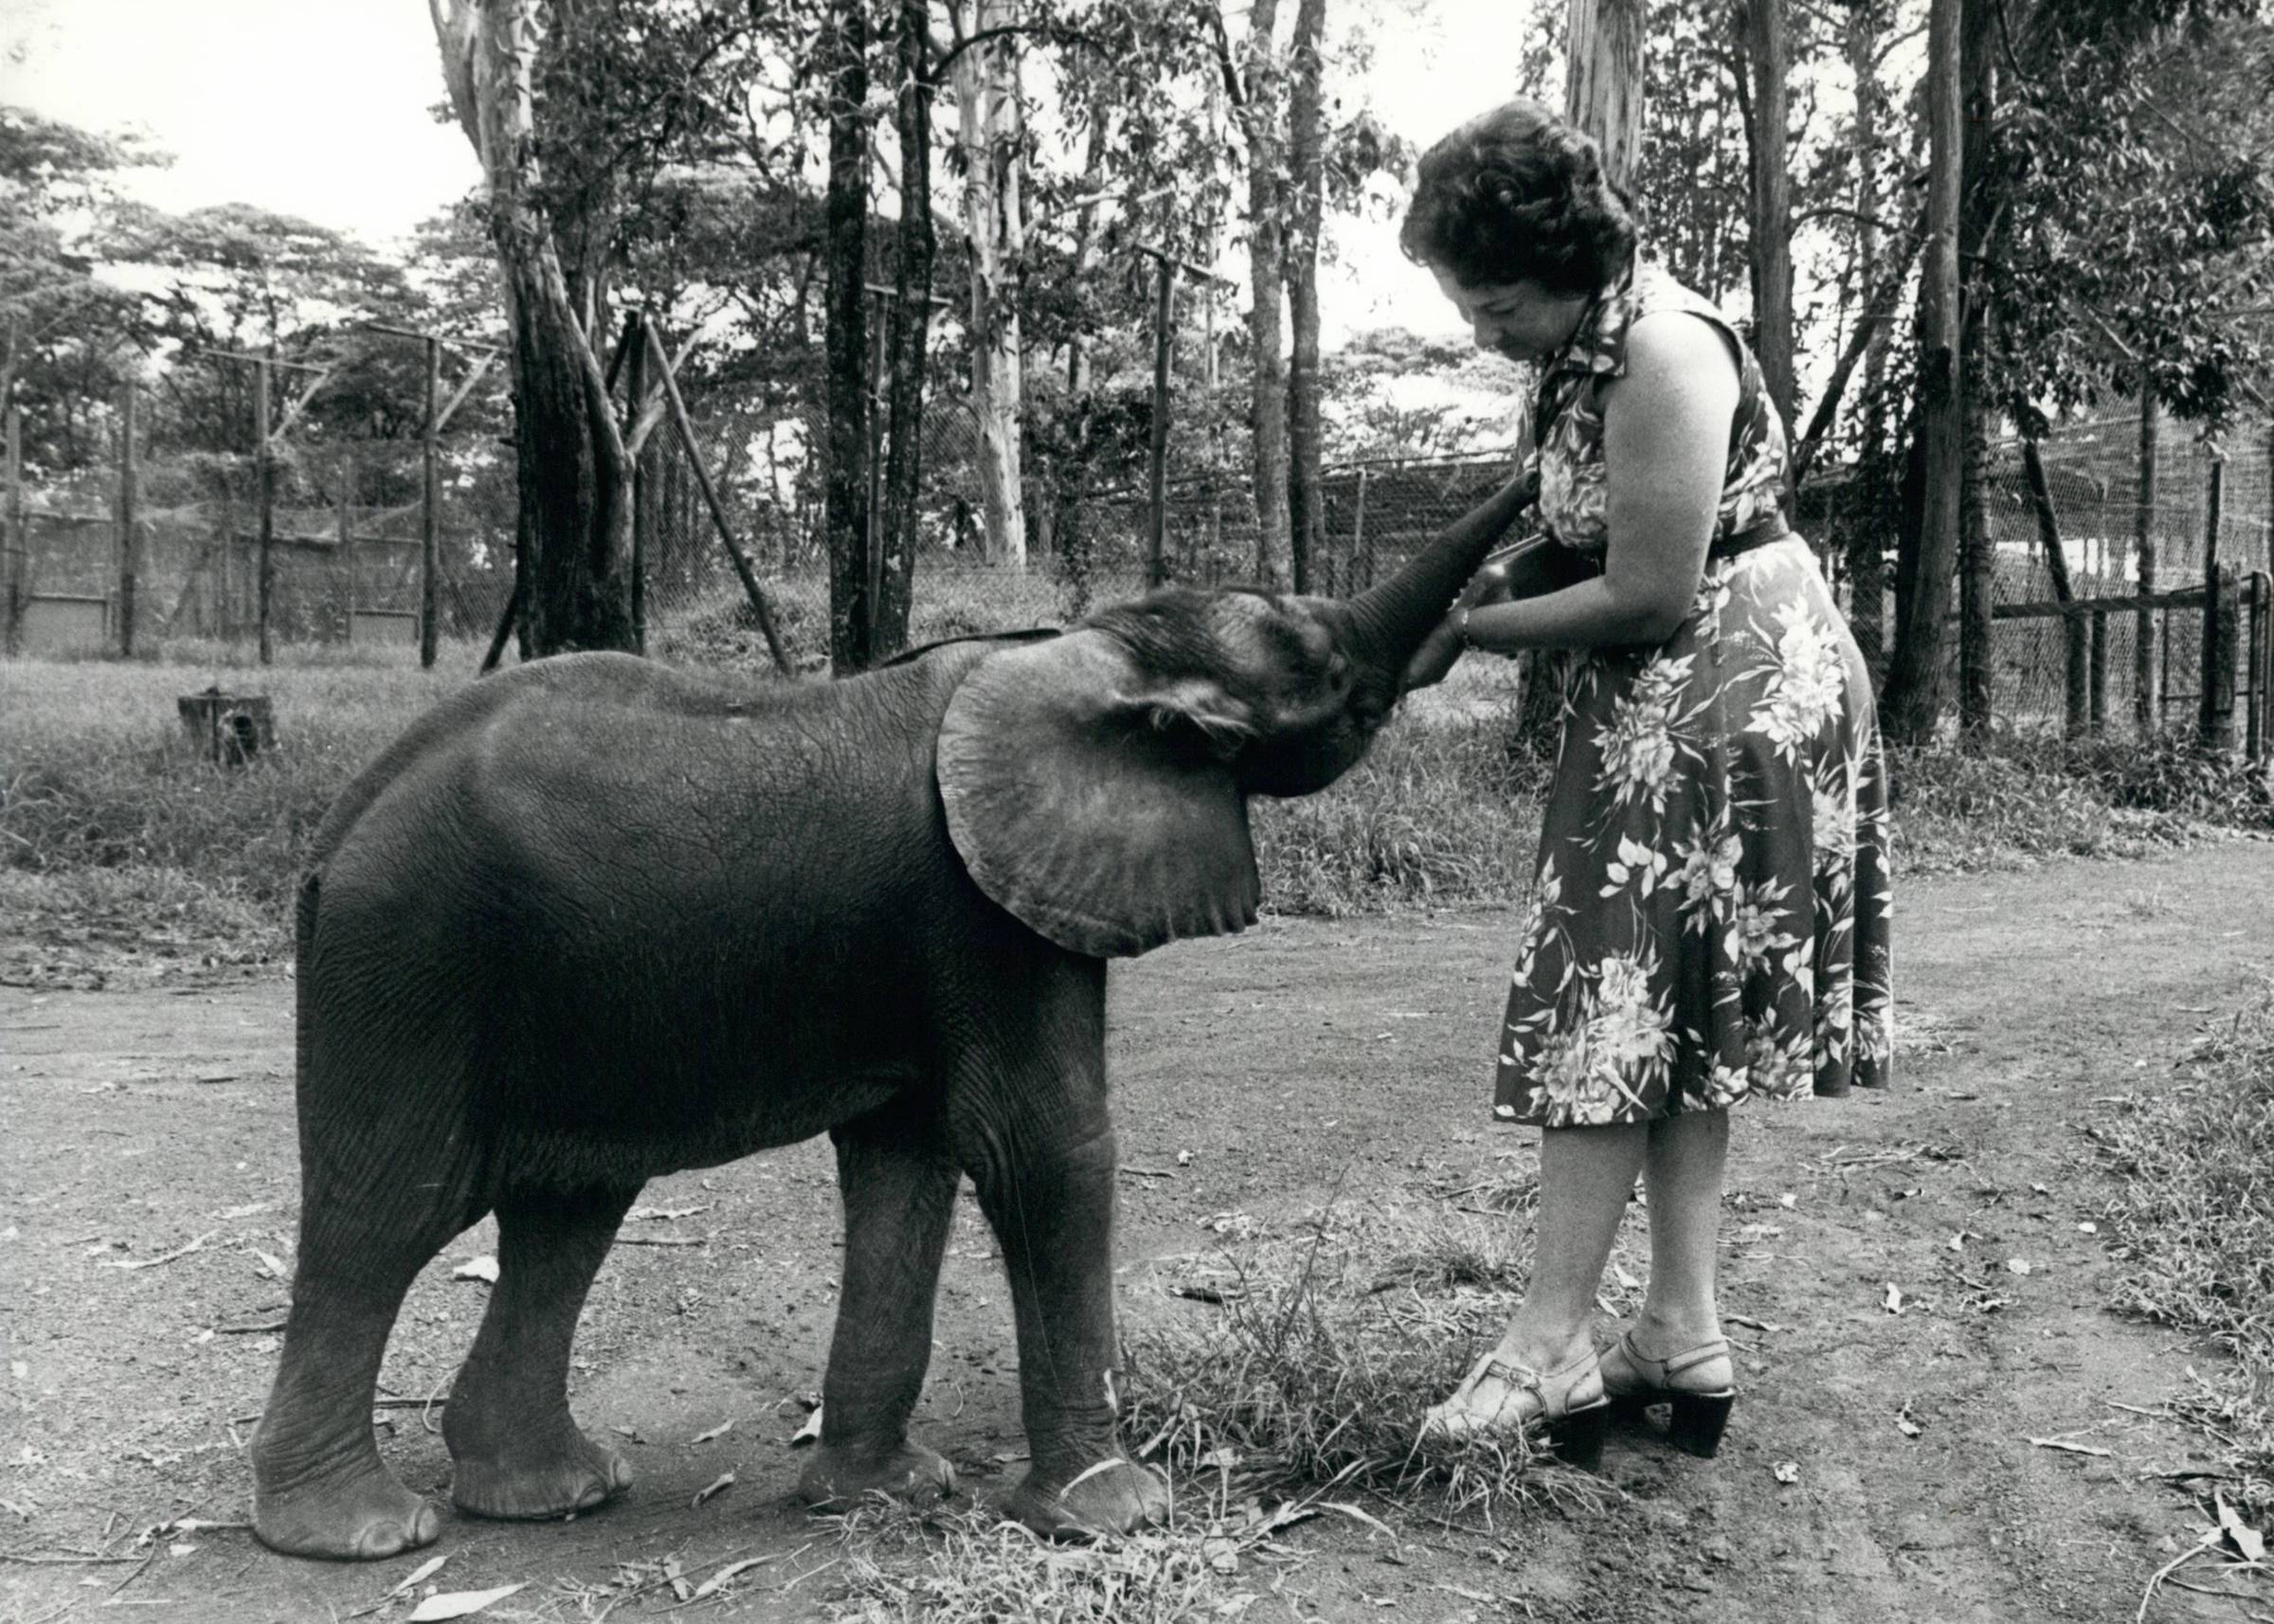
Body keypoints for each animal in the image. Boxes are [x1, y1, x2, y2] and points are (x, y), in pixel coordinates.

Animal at [248, 486, 1519, 1546]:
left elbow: (909, 1161)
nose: (1513, 579)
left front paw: (885, 1495)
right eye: (1324, 666)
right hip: (409, 959)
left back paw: (553, 1494)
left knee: (567, 1211)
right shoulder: (978, 909)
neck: (1094, 642)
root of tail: (334, 834)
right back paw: (362, 1534)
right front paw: (1114, 1517)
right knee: (386, 1213)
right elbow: (1043, 1148)